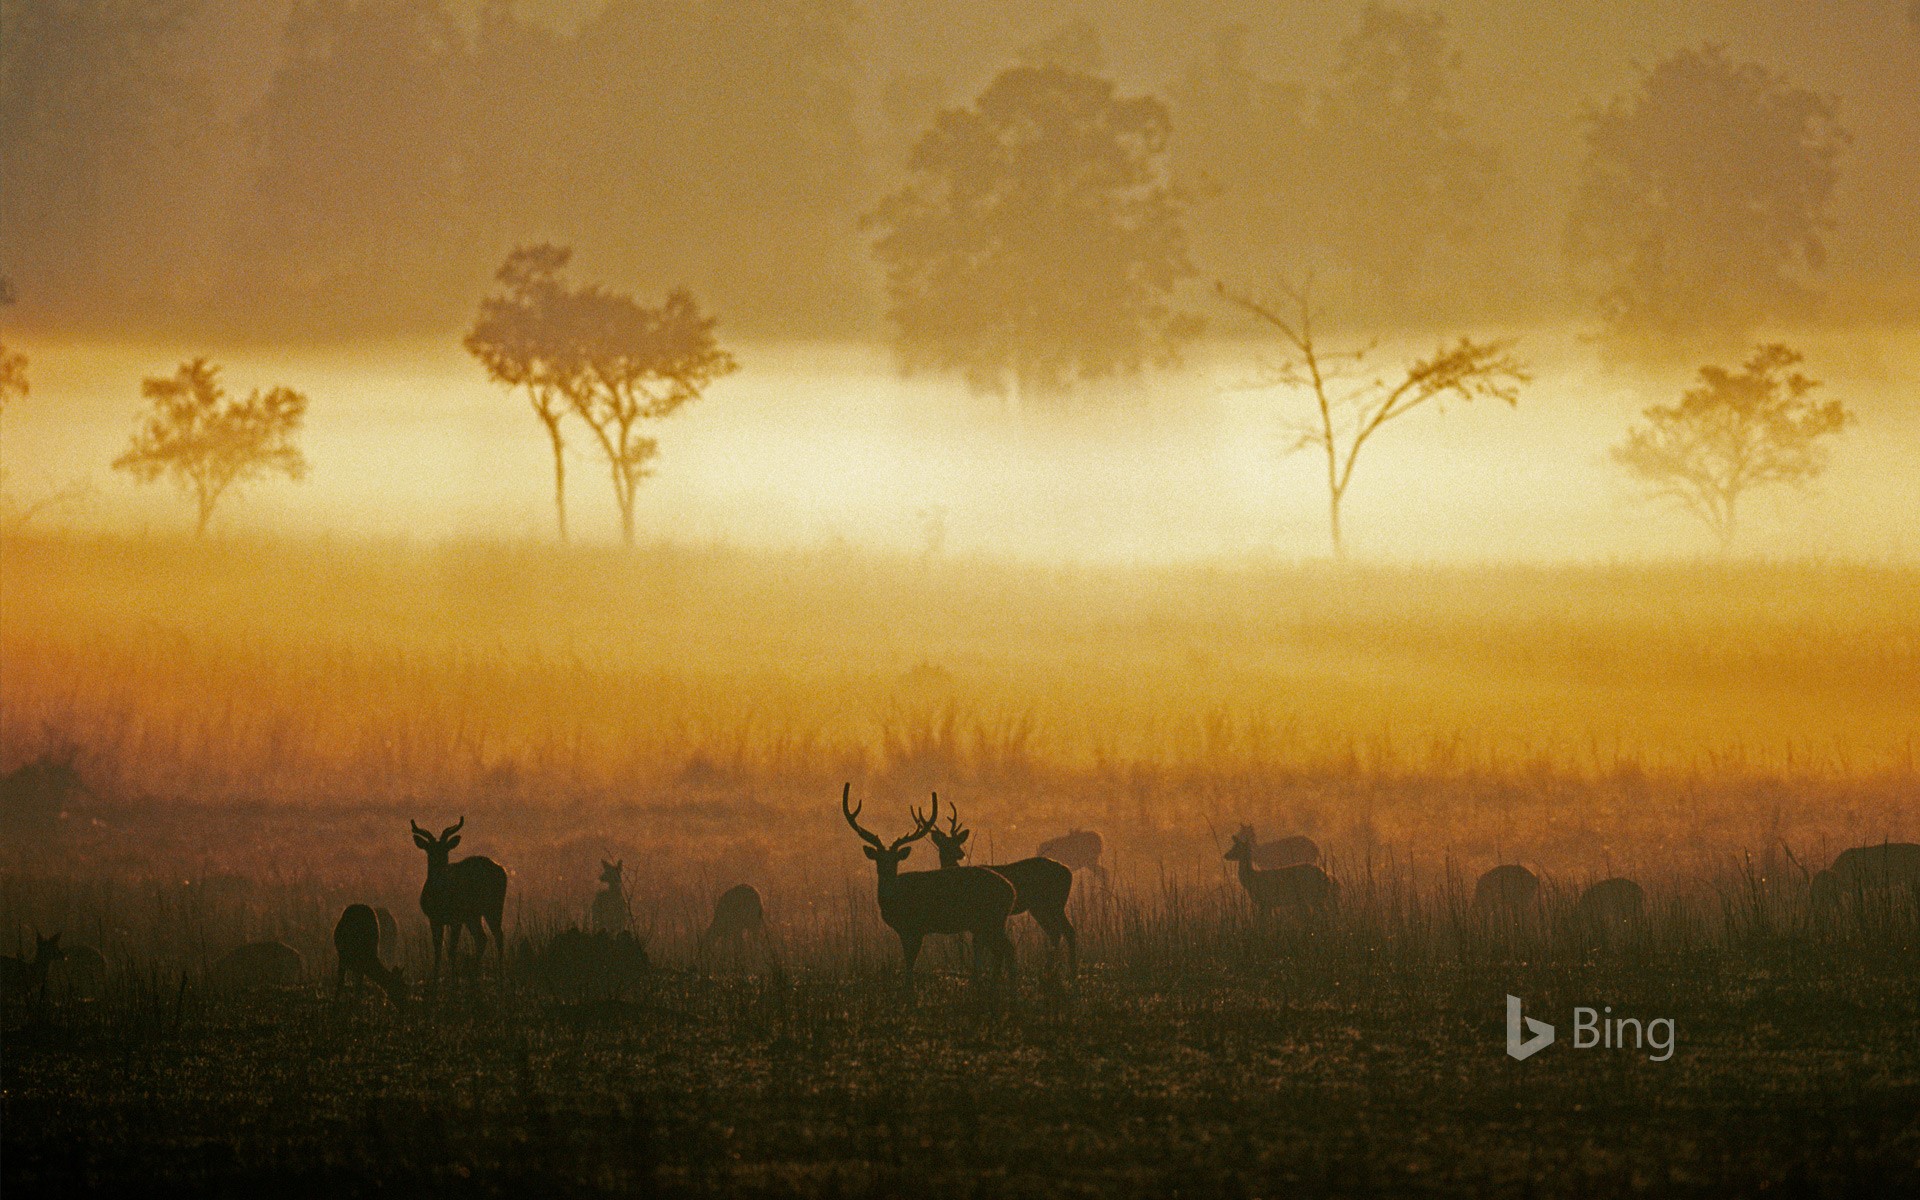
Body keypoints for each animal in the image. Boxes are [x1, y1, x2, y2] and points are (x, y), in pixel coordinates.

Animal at [411, 817, 509, 982]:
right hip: (473, 915)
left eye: (446, 850)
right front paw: (435, 979)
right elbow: (437, 950)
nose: (440, 866)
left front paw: (453, 979)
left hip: (493, 906)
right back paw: (475, 974)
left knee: (498, 935)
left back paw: (500, 975)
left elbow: (451, 950)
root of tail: (503, 870)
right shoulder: (434, 918)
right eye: (430, 850)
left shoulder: (456, 918)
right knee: (482, 938)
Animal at [841, 783, 1016, 994]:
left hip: (991, 919)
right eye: (879, 859)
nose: (886, 875)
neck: (896, 900)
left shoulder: (916, 927)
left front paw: (909, 991)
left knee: (1008, 949)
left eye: (895, 860)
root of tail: (1011, 890)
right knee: (1002, 950)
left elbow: (910, 962)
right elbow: (908, 961)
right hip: (988, 922)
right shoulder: (904, 931)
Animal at [930, 805, 1077, 977]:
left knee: (1067, 931)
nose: (961, 854)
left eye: (957, 842)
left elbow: (978, 944)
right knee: (1056, 932)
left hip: (1054, 904)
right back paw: (1049, 969)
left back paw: (1070, 972)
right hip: (1039, 907)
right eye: (945, 844)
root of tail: (1068, 871)